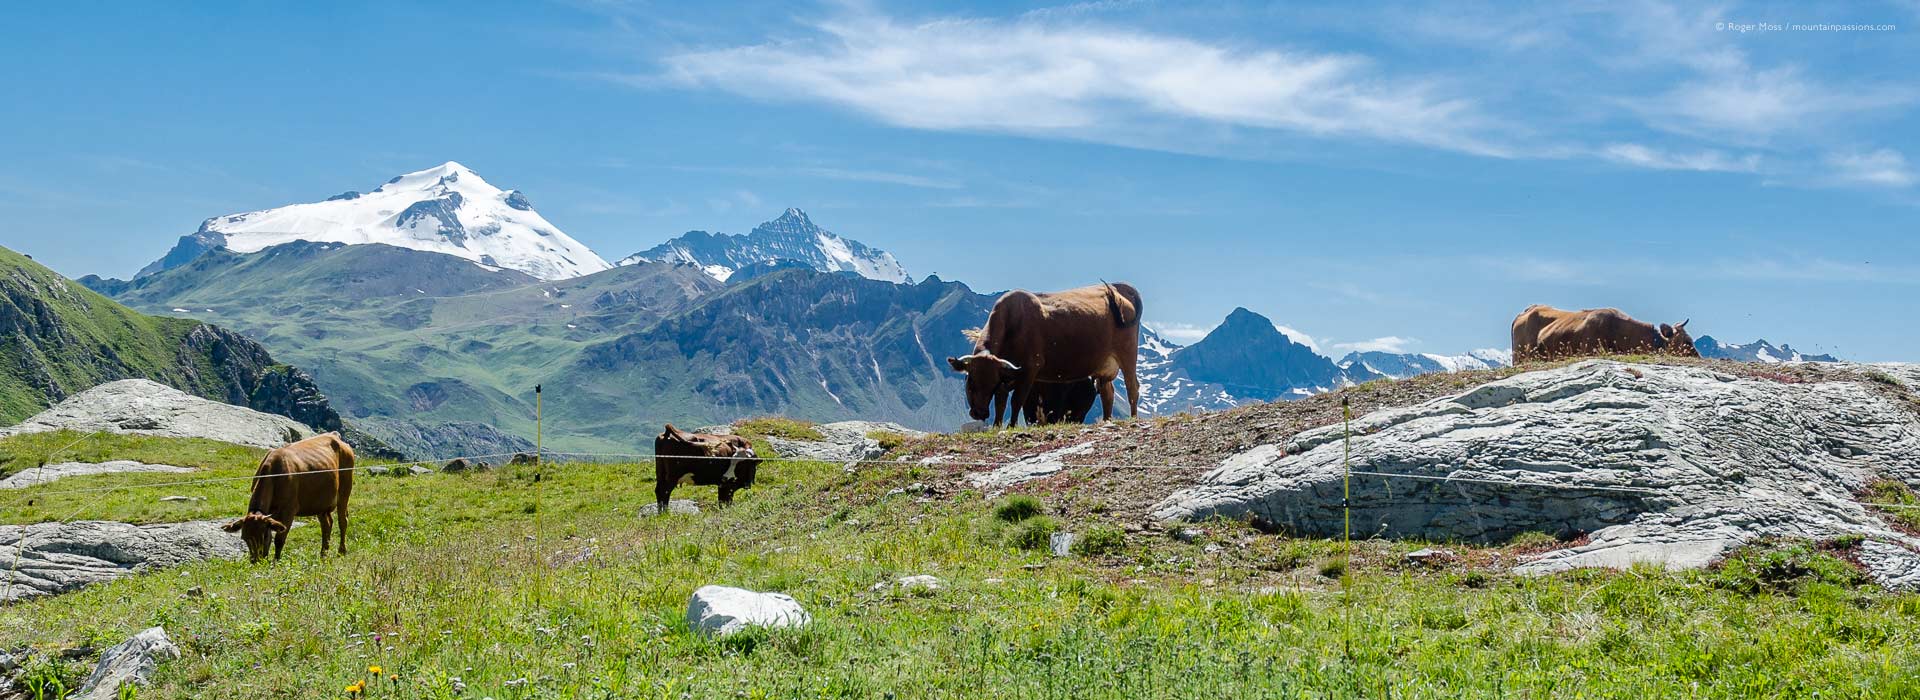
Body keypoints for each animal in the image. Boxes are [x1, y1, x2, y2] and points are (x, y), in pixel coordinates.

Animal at [226, 431, 359, 560]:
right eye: (244, 538)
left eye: (264, 536)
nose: (256, 561)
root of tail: (334, 435)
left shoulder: (289, 511)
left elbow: (279, 540)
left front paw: (275, 563)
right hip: (320, 502)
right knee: (327, 524)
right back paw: (323, 554)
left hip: (345, 490)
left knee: (343, 520)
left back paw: (341, 551)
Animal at [948, 280, 1136, 425]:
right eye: (970, 380)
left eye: (991, 383)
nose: (979, 413)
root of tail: (1119, 289)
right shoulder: (1006, 375)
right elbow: (1000, 403)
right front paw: (996, 425)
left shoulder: (1030, 369)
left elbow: (1017, 400)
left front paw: (1011, 426)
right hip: (1103, 367)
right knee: (1108, 394)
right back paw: (1106, 420)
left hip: (1128, 354)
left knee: (1132, 388)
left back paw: (1133, 418)